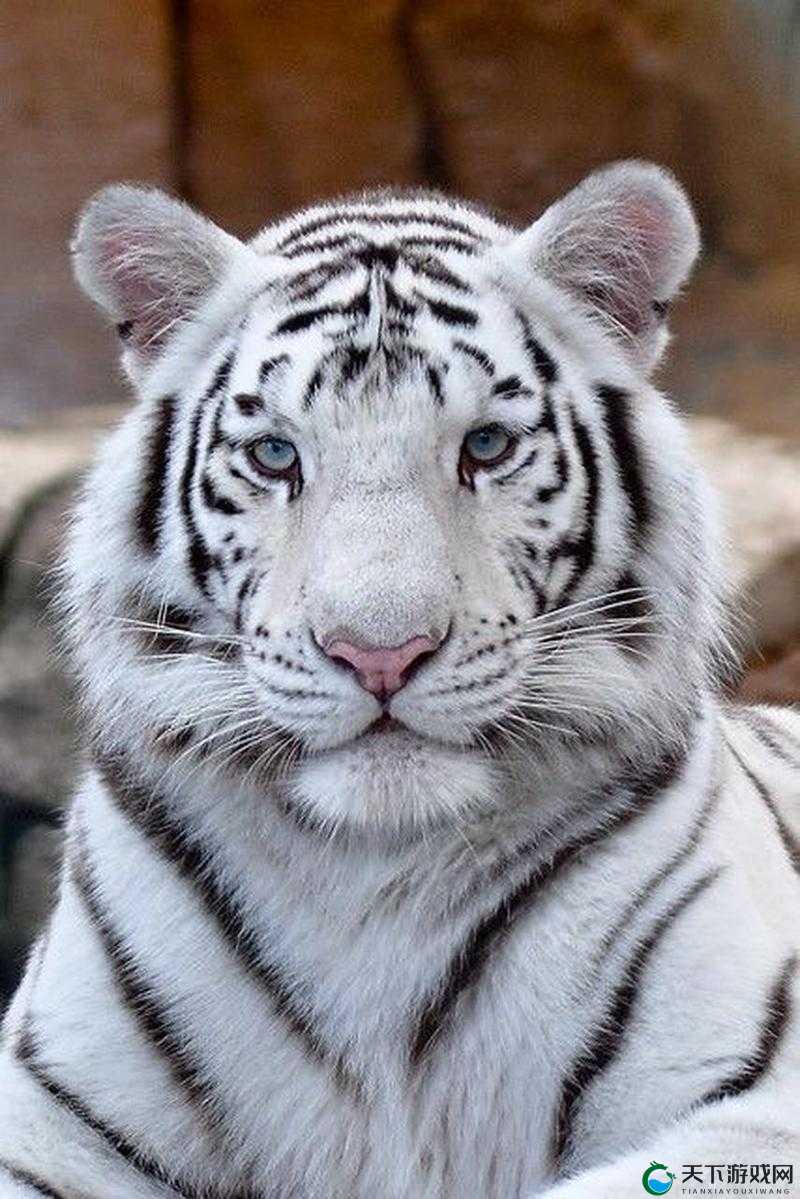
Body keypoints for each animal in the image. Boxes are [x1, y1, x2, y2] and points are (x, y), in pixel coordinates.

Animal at [0, 159, 798, 1199]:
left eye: (487, 446)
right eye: (276, 454)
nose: (379, 651)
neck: (374, 872)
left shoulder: (753, 1098)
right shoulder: (50, 1112)